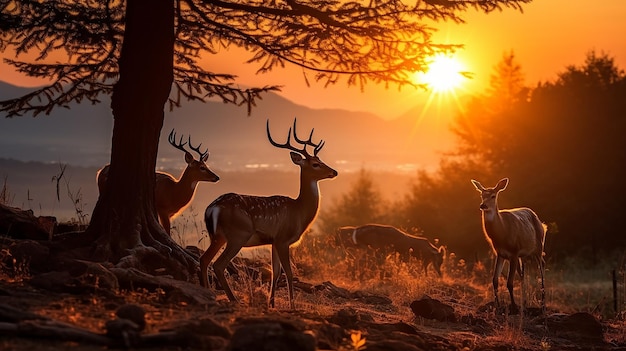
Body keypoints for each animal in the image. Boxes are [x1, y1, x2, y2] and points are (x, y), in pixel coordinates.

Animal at [199, 118, 336, 308]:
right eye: (315, 164)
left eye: (321, 160)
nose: (334, 172)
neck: (299, 212)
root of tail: (212, 208)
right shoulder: (283, 239)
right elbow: (289, 273)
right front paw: (292, 305)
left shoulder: (273, 241)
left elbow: (275, 273)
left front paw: (272, 304)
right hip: (238, 234)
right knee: (218, 264)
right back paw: (233, 299)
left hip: (218, 236)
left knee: (204, 259)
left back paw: (208, 293)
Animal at [470, 179, 544, 314]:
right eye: (482, 195)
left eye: (493, 196)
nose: (483, 205)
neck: (502, 232)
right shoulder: (501, 254)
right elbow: (494, 280)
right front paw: (498, 306)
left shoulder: (514, 253)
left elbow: (509, 283)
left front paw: (514, 307)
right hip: (523, 255)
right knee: (523, 275)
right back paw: (525, 303)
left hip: (539, 247)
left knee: (541, 270)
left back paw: (542, 305)